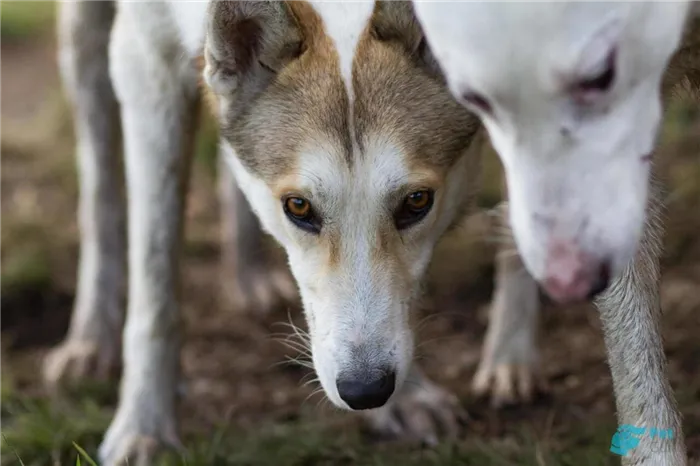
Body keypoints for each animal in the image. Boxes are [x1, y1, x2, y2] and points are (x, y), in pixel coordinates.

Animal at [45, 0, 696, 464]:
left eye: (416, 203)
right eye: (299, 207)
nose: (363, 391)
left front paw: (403, 402)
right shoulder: (143, 55)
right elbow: (155, 288)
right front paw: (144, 431)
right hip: (89, 43)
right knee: (101, 185)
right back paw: (90, 342)